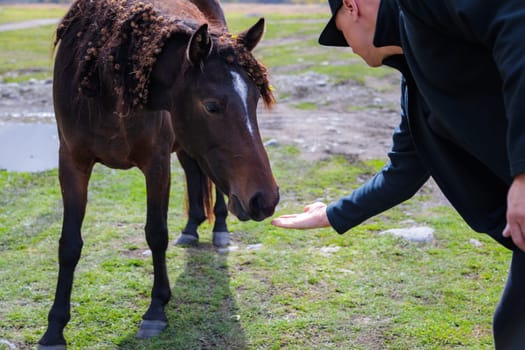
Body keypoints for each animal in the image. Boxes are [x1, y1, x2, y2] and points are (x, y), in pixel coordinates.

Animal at [37, 0, 280, 348]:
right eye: (211, 106)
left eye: (256, 99)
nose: (266, 199)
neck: (107, 83)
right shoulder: (71, 163)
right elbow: (69, 244)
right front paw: (54, 328)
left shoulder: (156, 164)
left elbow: (156, 233)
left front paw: (155, 310)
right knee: (195, 172)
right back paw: (192, 227)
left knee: (213, 185)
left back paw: (219, 228)